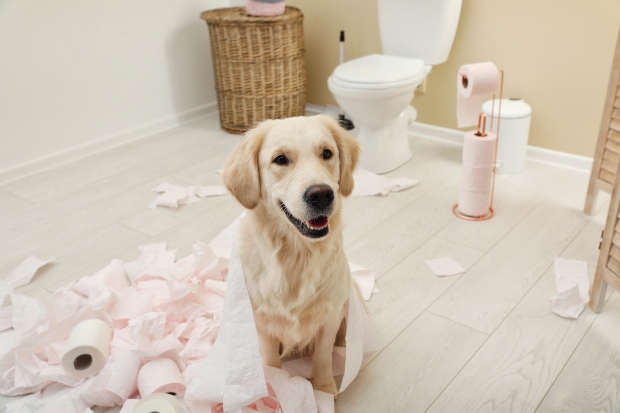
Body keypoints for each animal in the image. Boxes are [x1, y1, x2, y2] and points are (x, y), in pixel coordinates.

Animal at [222, 113, 358, 392]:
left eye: (327, 153)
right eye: (280, 159)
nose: (322, 194)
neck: (297, 254)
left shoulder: (330, 315)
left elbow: (322, 355)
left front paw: (324, 388)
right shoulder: (262, 321)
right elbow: (271, 358)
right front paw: (275, 385)